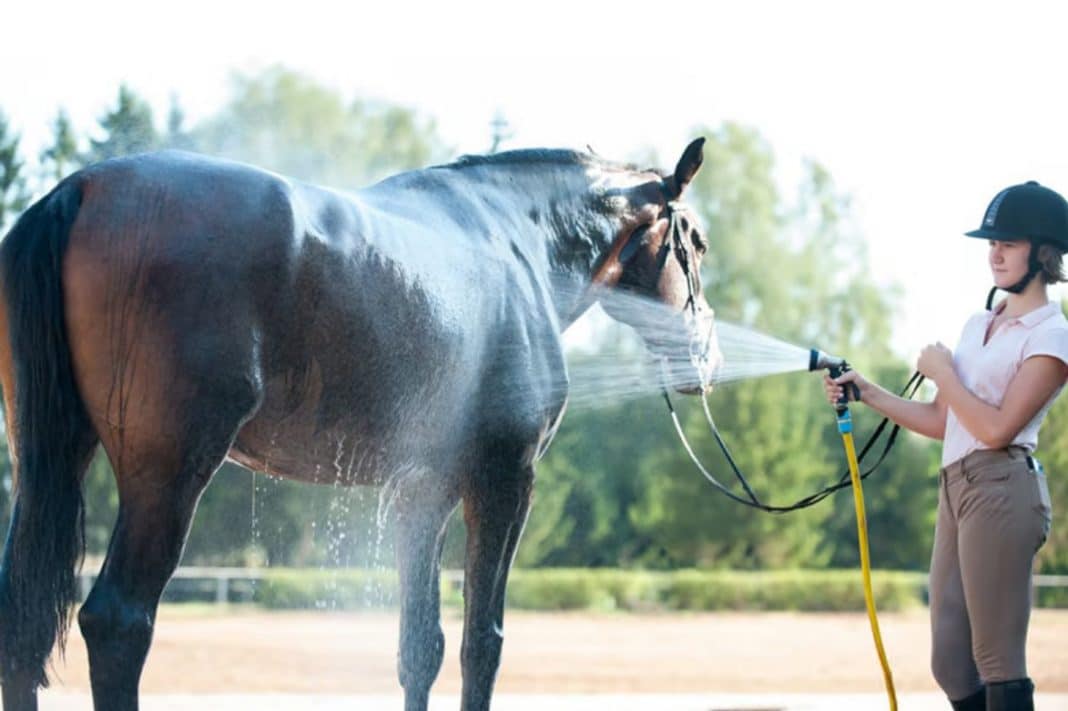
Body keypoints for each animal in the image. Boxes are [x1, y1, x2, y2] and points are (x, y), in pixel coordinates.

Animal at [0, 139, 717, 708]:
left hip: (46, 462)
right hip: (168, 478)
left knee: (24, 618)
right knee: (119, 621)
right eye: (698, 243)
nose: (708, 355)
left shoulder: (422, 492)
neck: (518, 242)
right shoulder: (505, 481)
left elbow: (421, 645)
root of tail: (80, 189)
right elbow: (481, 642)